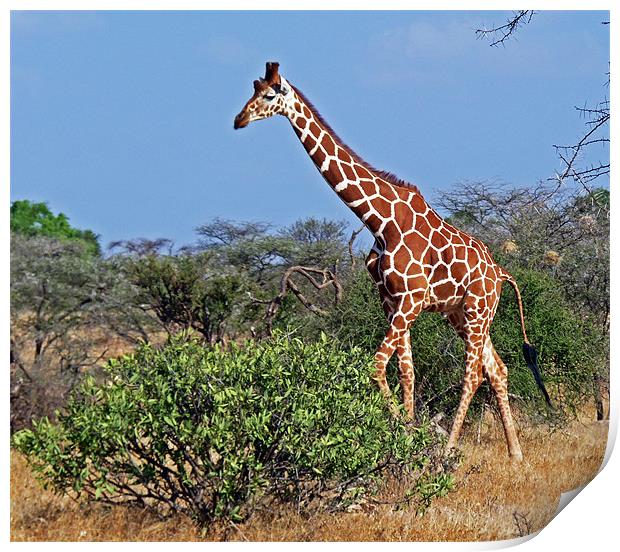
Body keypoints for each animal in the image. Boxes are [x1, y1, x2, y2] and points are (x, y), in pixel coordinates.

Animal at [234, 61, 552, 462]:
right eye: (252, 88)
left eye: (269, 95)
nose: (239, 120)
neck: (379, 219)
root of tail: (501, 273)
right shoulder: (390, 300)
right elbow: (406, 370)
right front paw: (408, 433)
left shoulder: (410, 301)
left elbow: (376, 365)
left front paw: (403, 431)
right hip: (462, 313)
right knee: (497, 368)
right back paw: (515, 453)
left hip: (478, 311)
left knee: (473, 373)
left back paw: (451, 447)